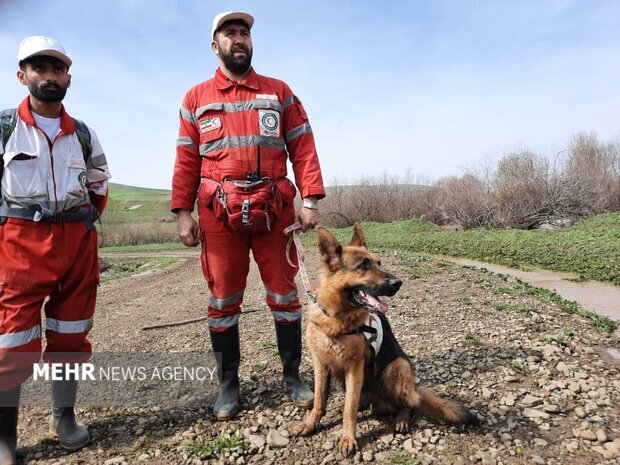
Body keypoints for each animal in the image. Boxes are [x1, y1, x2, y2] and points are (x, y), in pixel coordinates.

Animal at [294, 224, 478, 454]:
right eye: (363, 265)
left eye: (379, 263)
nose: (398, 283)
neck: (337, 320)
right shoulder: (321, 364)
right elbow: (320, 399)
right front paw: (310, 424)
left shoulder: (354, 368)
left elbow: (348, 408)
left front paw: (348, 438)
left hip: (396, 368)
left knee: (410, 404)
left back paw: (401, 419)